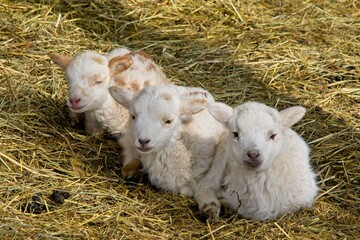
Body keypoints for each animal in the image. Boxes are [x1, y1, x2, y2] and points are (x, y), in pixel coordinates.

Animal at [50, 47, 169, 177]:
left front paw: (129, 171)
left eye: (99, 81)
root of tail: (140, 53)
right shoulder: (92, 125)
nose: (74, 100)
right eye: (69, 80)